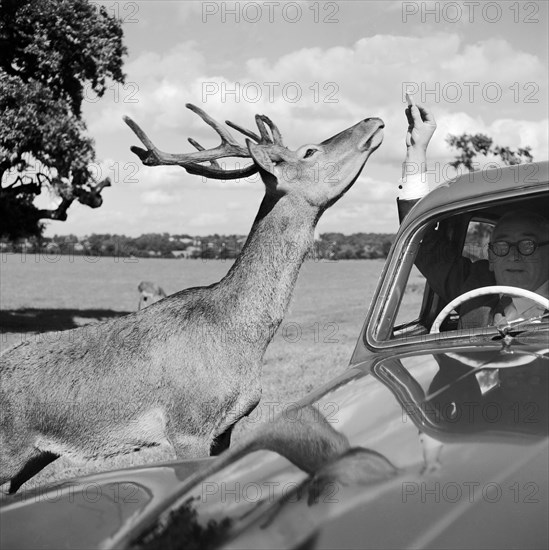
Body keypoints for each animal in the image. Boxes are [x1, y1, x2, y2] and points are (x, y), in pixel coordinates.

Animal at [0, 103, 384, 496]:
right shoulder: (188, 425)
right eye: (309, 151)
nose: (372, 120)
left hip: (34, 456)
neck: (240, 341)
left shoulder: (226, 427)